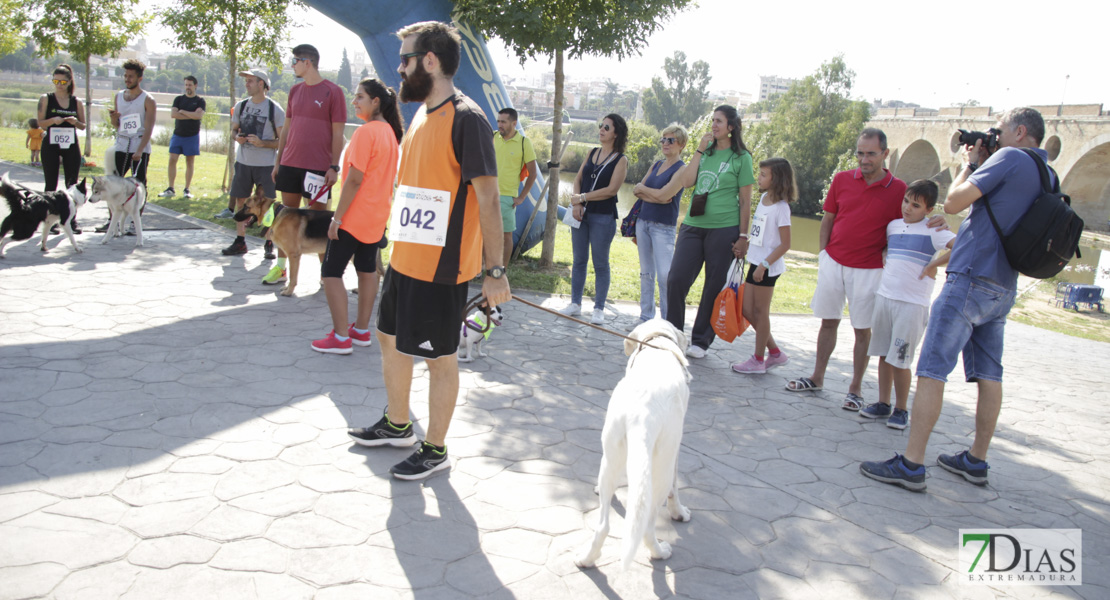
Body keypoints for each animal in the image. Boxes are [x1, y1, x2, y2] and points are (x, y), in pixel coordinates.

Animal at [577, 314, 688, 567]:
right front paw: (679, 511)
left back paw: (587, 558)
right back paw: (660, 552)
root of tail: (642, 415)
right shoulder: (675, 448)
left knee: (603, 525)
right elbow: (676, 486)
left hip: (611, 455)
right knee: (647, 527)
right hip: (660, 469)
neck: (657, 342)